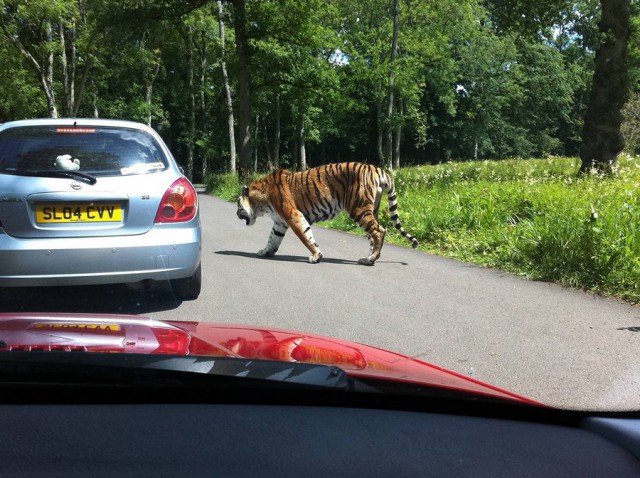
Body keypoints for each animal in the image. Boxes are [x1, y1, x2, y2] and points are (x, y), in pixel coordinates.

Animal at [235, 162, 420, 266]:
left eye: (238, 206)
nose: (236, 214)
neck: (262, 203)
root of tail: (376, 168)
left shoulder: (293, 216)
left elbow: (306, 237)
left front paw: (316, 256)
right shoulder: (280, 222)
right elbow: (273, 239)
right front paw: (265, 252)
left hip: (359, 208)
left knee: (380, 231)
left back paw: (370, 260)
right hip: (371, 210)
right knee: (374, 235)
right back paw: (367, 257)